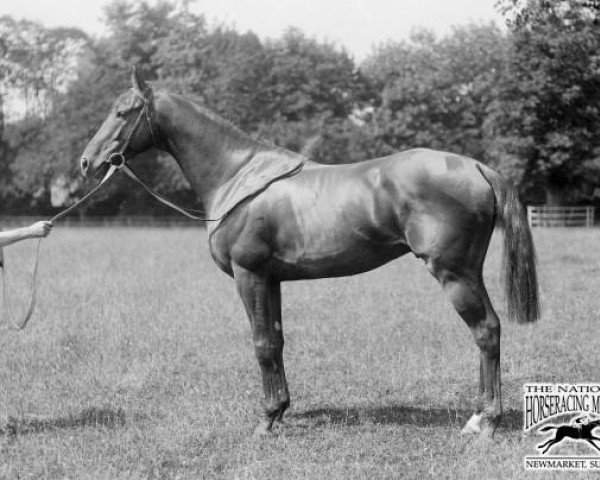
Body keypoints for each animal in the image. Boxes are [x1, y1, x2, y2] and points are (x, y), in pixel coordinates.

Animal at [78, 66, 540, 438]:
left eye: (122, 112)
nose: (87, 163)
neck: (239, 175)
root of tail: (476, 166)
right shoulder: (271, 279)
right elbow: (277, 339)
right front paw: (281, 410)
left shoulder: (250, 275)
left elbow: (262, 343)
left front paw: (266, 420)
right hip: (468, 272)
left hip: (454, 274)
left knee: (486, 330)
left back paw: (485, 420)